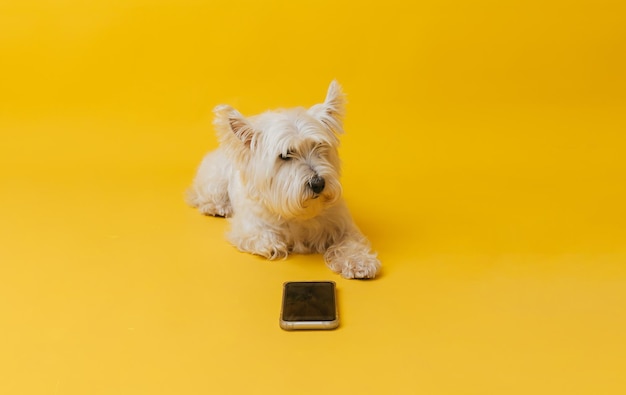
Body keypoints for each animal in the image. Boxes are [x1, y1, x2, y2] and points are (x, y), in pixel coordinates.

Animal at [185, 81, 380, 278]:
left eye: (318, 145)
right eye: (285, 155)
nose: (318, 184)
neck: (300, 212)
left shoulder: (343, 224)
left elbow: (351, 241)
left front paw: (359, 262)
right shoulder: (249, 227)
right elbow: (267, 240)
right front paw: (278, 244)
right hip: (215, 178)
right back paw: (217, 207)